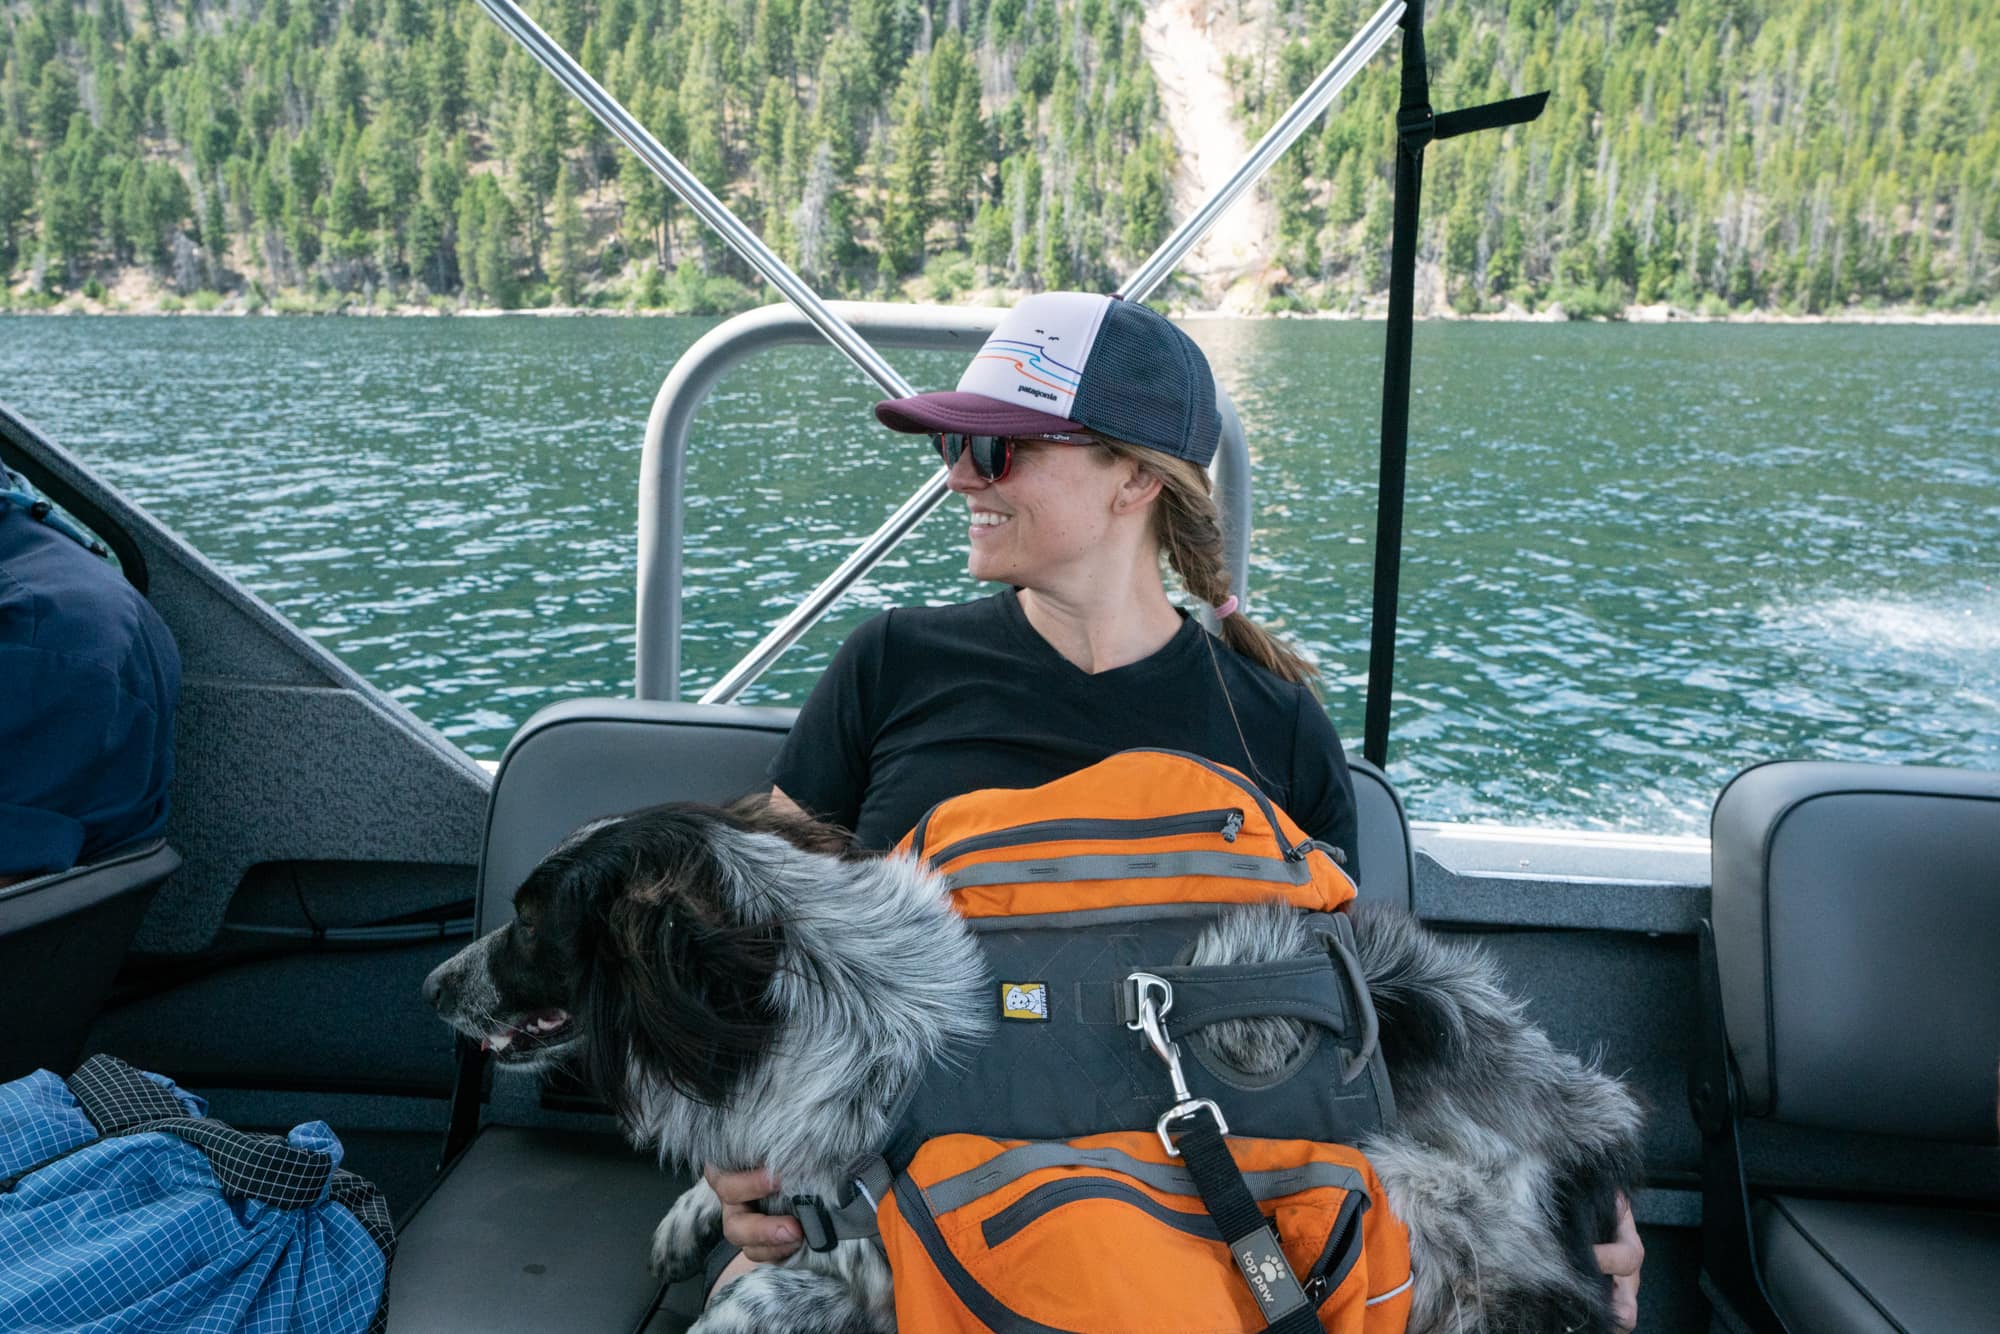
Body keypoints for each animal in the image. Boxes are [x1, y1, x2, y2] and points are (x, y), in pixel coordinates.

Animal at [422, 804, 1640, 1334]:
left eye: (528, 921)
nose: (431, 986)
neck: (823, 991)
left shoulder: (861, 1260)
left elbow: (746, 1304)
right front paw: (689, 1219)